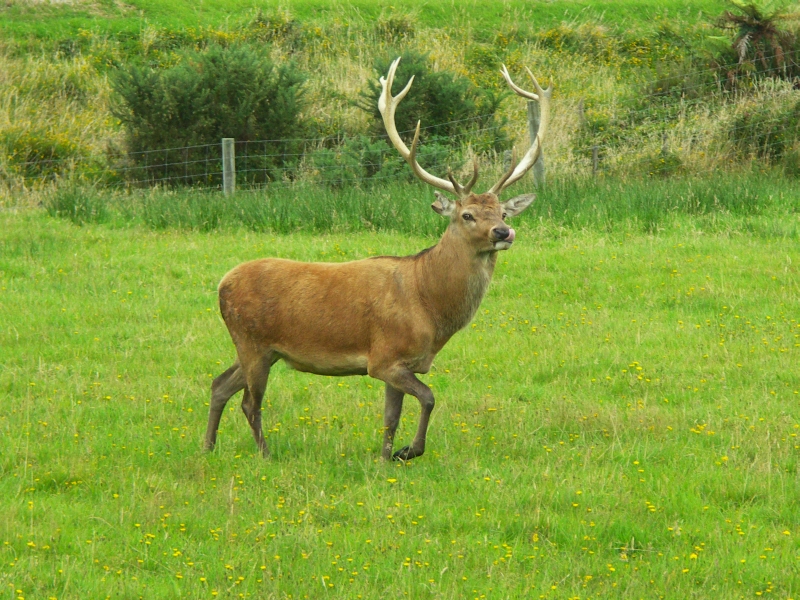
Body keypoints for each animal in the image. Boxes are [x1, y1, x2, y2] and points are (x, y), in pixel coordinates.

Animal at [203, 57, 552, 460]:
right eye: (467, 215)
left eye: (503, 213)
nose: (503, 233)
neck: (430, 306)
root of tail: (221, 284)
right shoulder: (384, 357)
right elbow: (429, 398)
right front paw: (408, 451)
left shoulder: (403, 363)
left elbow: (391, 416)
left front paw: (385, 458)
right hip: (251, 341)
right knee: (249, 402)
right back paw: (266, 455)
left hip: (262, 349)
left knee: (218, 384)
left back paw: (208, 446)